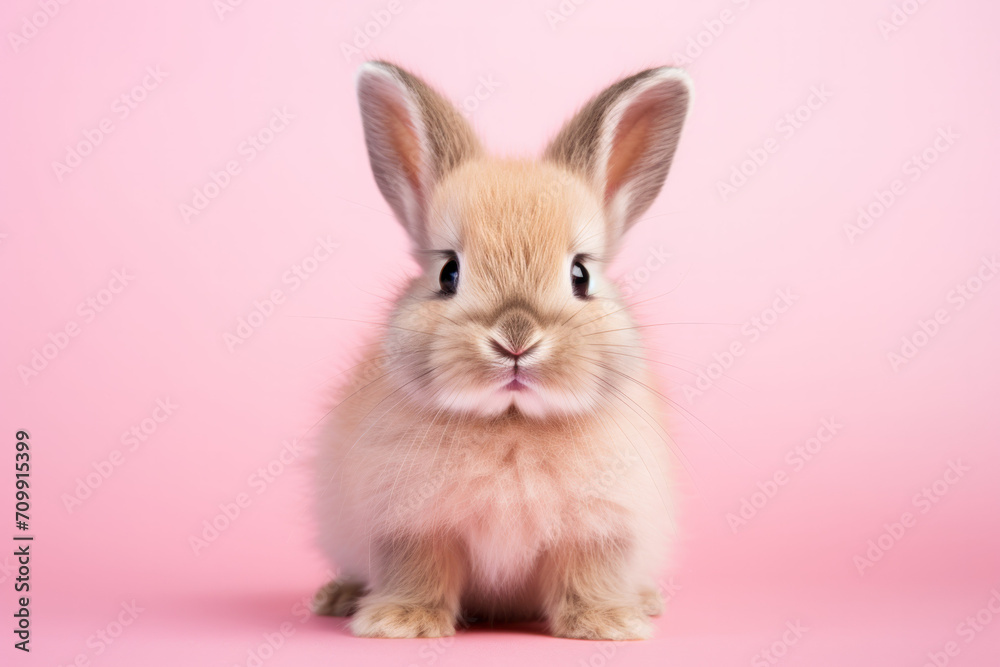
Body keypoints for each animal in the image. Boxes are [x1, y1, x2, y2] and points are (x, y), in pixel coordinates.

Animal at [311, 61, 692, 640]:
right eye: (448, 273)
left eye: (580, 274)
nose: (516, 339)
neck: (512, 424)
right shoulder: (407, 526)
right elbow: (419, 571)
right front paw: (400, 622)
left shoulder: (601, 529)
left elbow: (588, 575)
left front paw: (608, 624)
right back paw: (338, 597)